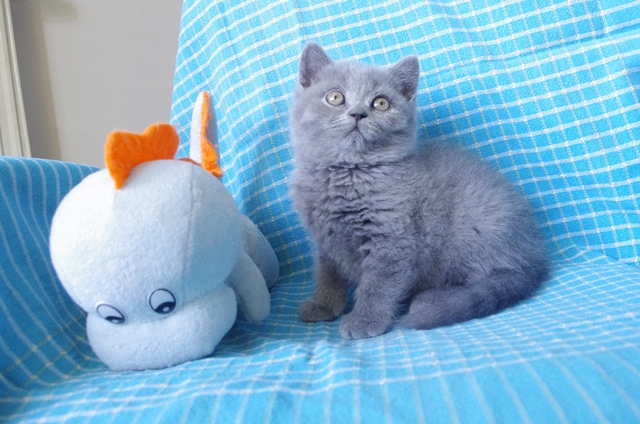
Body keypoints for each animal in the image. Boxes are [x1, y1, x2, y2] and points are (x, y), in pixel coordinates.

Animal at [288, 42, 549, 340]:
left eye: (380, 103)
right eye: (334, 97)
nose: (358, 113)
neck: (349, 173)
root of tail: (535, 255)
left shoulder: (392, 240)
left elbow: (378, 285)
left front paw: (365, 321)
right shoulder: (325, 239)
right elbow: (328, 274)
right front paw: (323, 304)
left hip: (474, 230)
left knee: (492, 278)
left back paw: (432, 300)